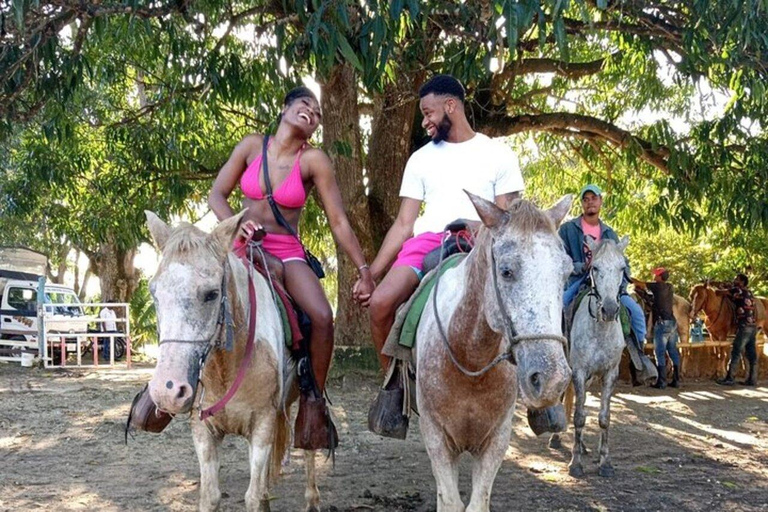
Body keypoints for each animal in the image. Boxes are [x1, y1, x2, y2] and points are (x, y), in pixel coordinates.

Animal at [146, 210, 320, 510]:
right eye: (154, 292)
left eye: (212, 293)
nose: (168, 391)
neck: (226, 369)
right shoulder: (203, 431)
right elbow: (212, 495)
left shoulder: (262, 425)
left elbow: (252, 497)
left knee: (309, 444)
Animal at [416, 193, 572, 512]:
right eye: (506, 271)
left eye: (567, 273)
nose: (552, 379)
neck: (470, 359)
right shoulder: (435, 437)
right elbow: (450, 501)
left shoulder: (497, 440)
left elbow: (477, 504)